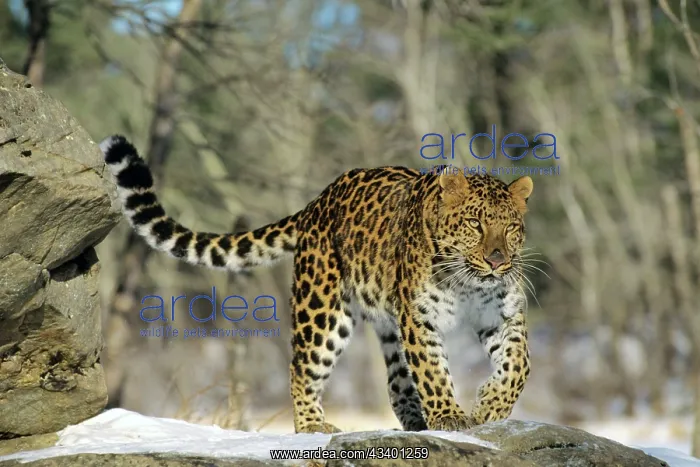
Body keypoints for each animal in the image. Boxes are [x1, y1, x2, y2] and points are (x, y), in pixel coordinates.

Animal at [100, 134, 534, 434]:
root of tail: (318, 201)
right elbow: (432, 371)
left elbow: (518, 365)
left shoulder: (503, 314)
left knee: (397, 383)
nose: (498, 260)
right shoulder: (419, 318)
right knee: (300, 368)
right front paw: (450, 416)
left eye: (511, 227)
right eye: (475, 224)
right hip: (323, 313)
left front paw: (489, 407)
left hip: (385, 323)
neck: (469, 285)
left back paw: (415, 422)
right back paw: (311, 425)